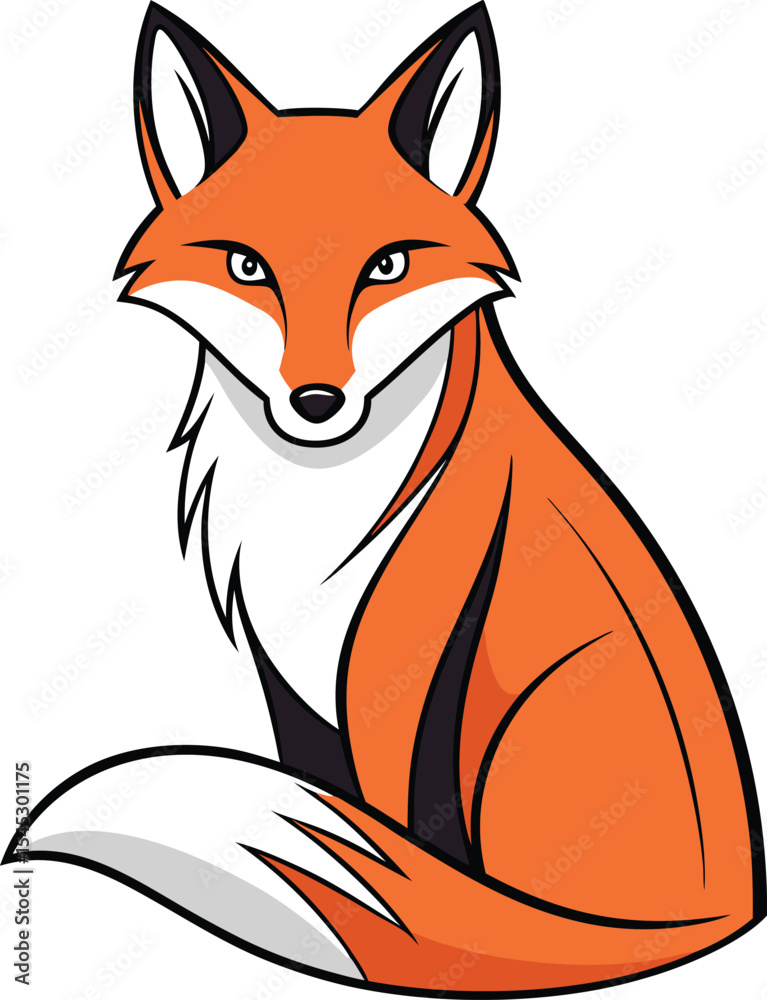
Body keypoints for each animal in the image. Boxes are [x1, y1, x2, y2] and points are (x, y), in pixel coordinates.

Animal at [5, 3, 765, 996]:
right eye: (247, 267)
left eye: (387, 266)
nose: (315, 402)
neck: (319, 511)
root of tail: (722, 914)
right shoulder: (288, 678)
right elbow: (335, 801)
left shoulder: (400, 674)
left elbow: (400, 842)